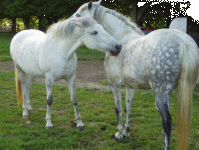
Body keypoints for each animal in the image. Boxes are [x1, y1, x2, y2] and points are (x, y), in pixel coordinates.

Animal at [72, 0, 199, 149]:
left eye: (78, 14)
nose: (69, 23)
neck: (122, 37)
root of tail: (184, 42)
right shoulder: (130, 86)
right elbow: (128, 108)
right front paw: (126, 131)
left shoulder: (113, 85)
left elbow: (118, 109)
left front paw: (119, 133)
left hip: (161, 94)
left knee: (167, 122)